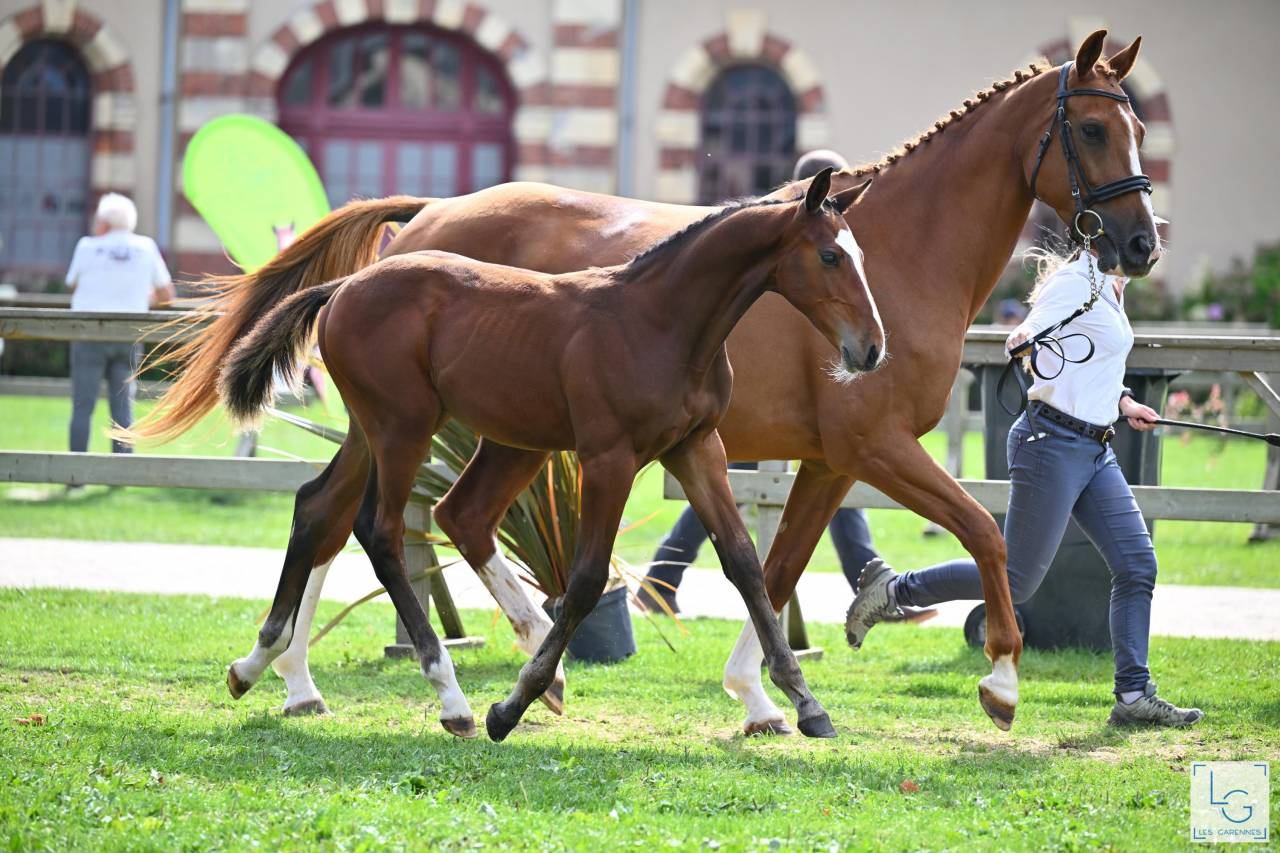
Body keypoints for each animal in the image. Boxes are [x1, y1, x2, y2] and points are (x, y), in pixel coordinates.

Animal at [216, 170, 884, 741]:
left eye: (861, 256)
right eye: (829, 256)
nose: (872, 349)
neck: (661, 322)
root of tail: (344, 286)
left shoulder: (696, 449)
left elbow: (745, 563)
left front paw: (804, 704)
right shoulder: (609, 457)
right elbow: (585, 581)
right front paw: (510, 706)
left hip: (374, 428)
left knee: (319, 507)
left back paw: (257, 666)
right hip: (404, 429)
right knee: (380, 531)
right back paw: (451, 700)